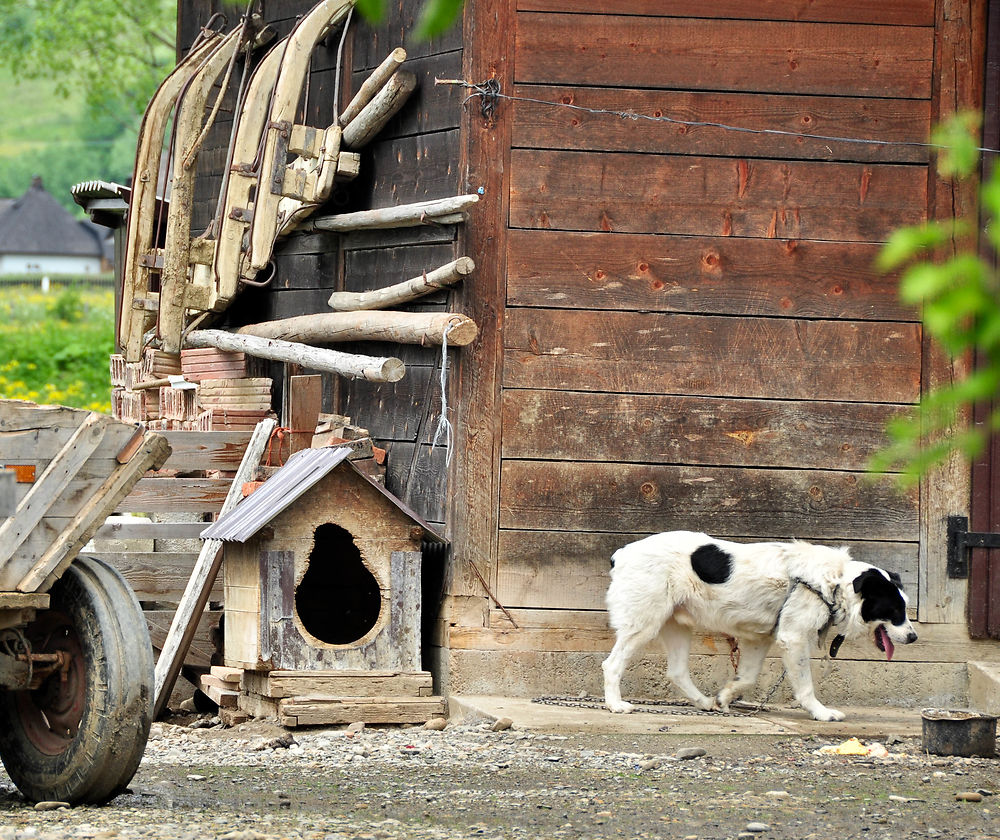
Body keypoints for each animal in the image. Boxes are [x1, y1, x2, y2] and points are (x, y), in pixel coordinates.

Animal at [600, 532, 920, 720]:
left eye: (904, 609)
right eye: (895, 611)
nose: (914, 637)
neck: (834, 582)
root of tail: (621, 553)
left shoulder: (758, 640)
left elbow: (747, 678)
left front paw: (725, 696)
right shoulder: (793, 639)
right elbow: (805, 686)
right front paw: (821, 713)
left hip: (676, 625)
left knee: (677, 672)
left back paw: (704, 702)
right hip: (643, 623)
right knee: (612, 664)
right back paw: (616, 704)